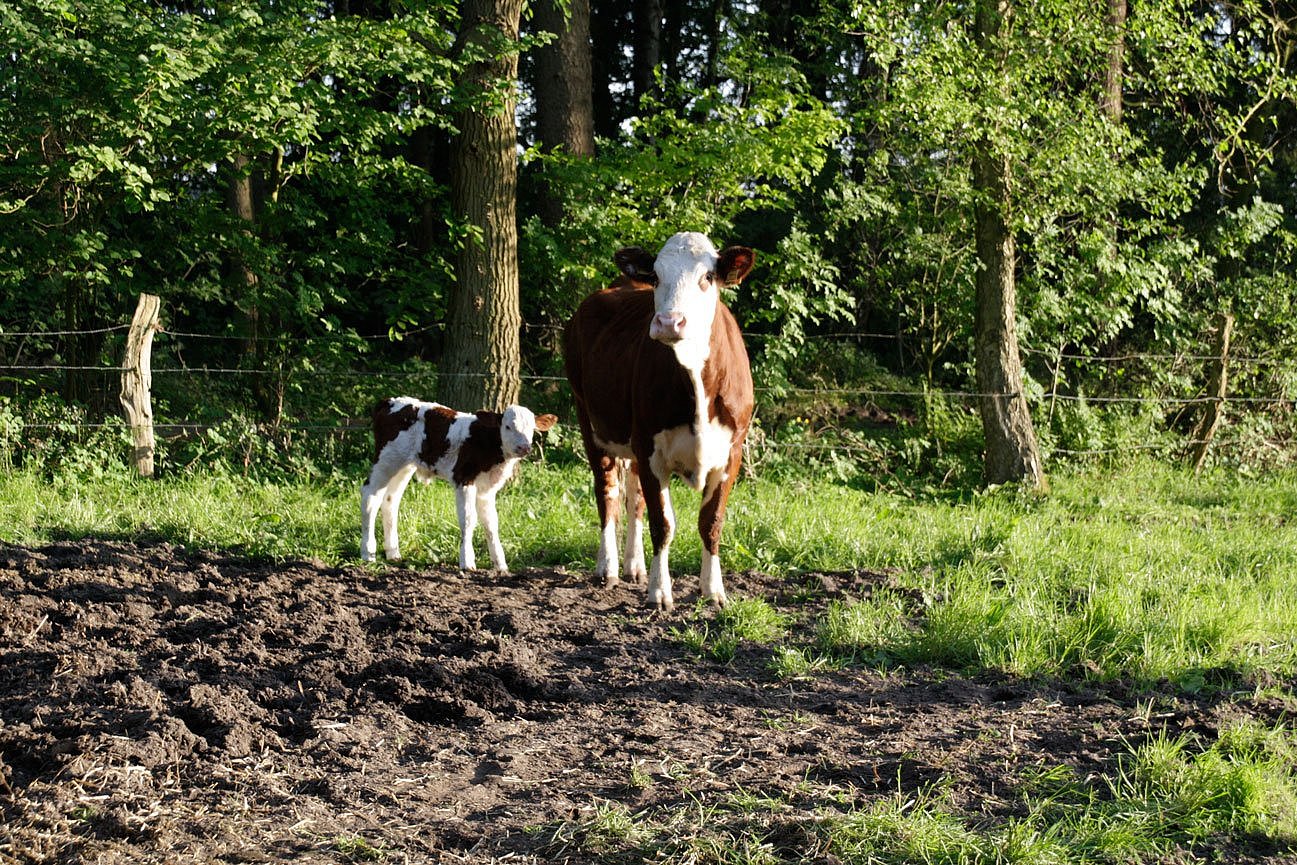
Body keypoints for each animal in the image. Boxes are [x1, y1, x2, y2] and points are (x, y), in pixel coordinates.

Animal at [562, 229, 757, 609]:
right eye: (656, 276)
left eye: (707, 277)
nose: (669, 322)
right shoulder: (651, 448)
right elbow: (663, 524)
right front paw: (659, 593)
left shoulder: (732, 452)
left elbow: (711, 522)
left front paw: (714, 591)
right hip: (588, 419)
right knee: (607, 493)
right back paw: (608, 567)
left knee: (634, 498)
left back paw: (634, 565)